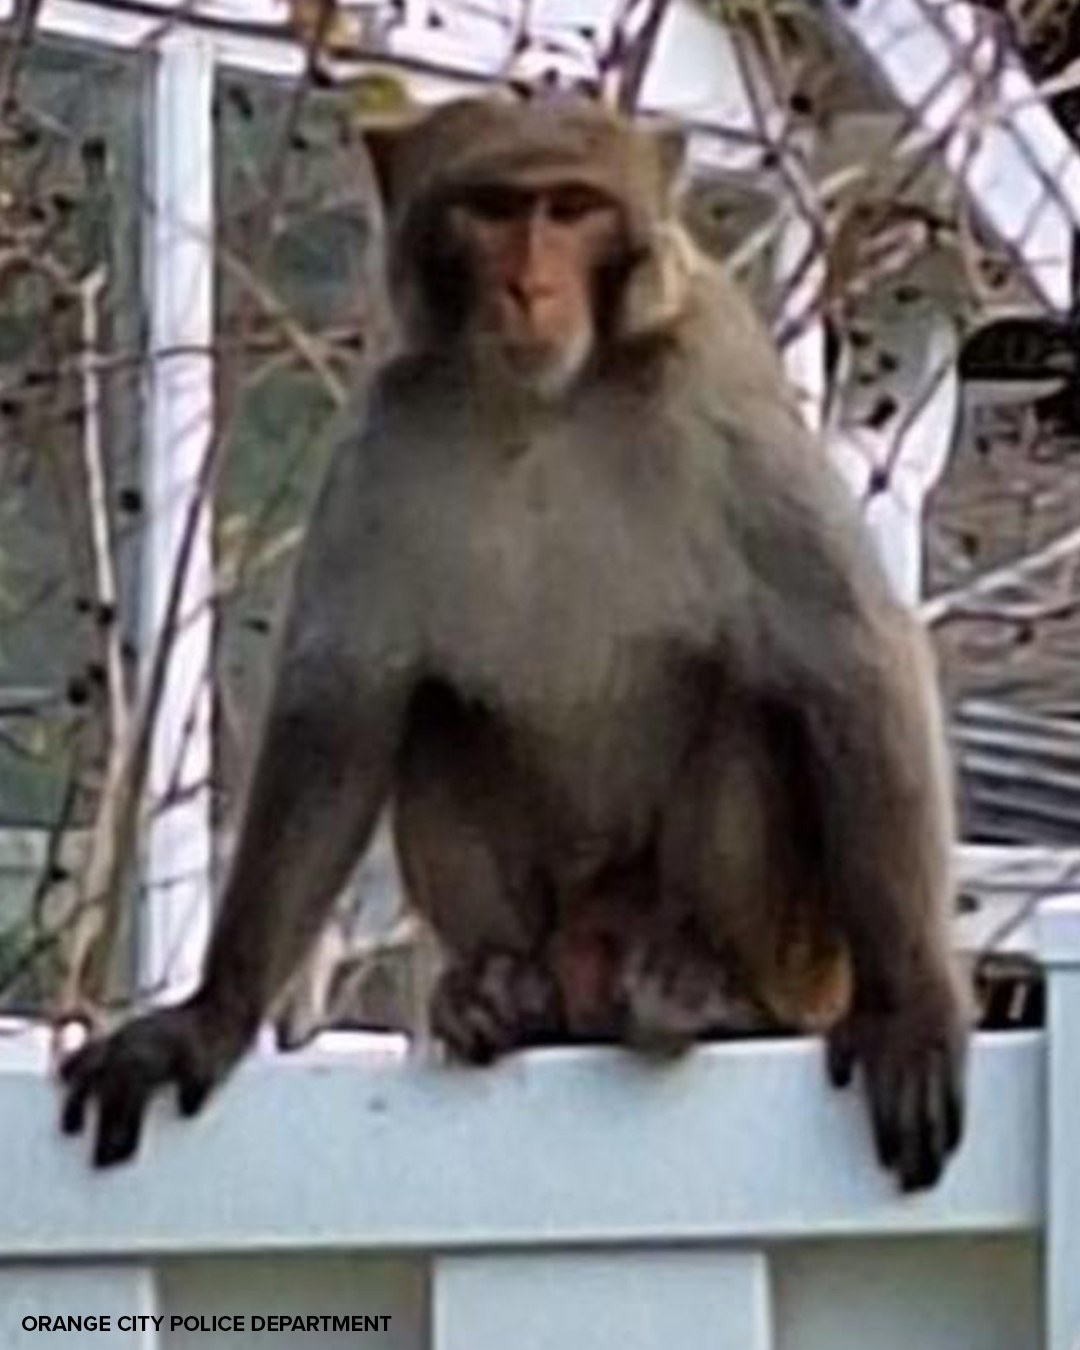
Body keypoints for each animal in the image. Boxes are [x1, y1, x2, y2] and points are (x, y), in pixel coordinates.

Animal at [59, 94, 970, 1192]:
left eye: (571, 209)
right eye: (494, 210)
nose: (529, 285)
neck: (548, 399)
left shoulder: (716, 393)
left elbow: (852, 660)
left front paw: (913, 1009)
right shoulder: (389, 428)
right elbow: (343, 711)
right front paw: (208, 1017)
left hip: (796, 949)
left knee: (751, 704)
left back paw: (707, 985)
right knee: (433, 713)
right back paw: (501, 991)